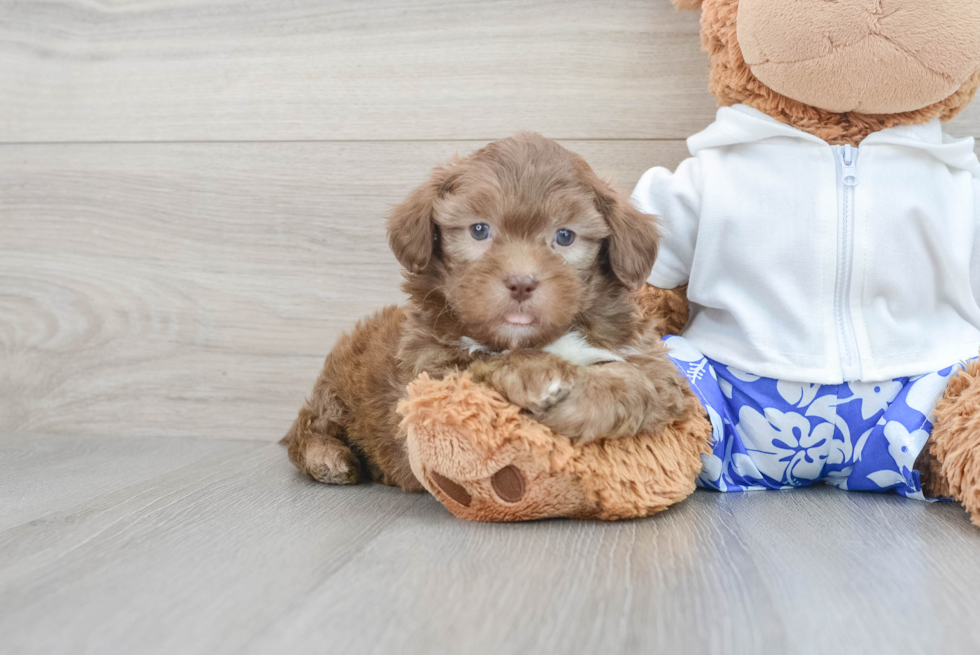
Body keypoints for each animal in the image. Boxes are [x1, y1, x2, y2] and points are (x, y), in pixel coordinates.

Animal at [284, 135, 688, 492]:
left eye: (565, 237)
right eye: (479, 230)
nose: (521, 283)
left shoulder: (648, 360)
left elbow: (646, 386)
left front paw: (592, 400)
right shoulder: (428, 375)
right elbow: (479, 366)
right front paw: (538, 375)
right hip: (336, 388)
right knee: (305, 428)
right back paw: (328, 458)